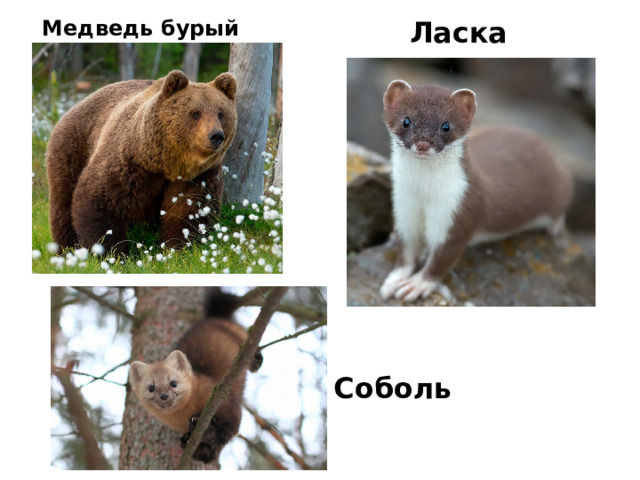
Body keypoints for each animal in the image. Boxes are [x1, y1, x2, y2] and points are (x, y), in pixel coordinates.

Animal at [46, 70, 237, 254]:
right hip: (72, 149)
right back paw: (66, 247)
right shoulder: (129, 164)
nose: (216, 136)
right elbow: (99, 201)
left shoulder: (198, 176)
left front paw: (178, 248)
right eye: (196, 113)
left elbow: (189, 212)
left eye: (221, 113)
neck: (167, 164)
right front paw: (112, 252)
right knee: (63, 203)